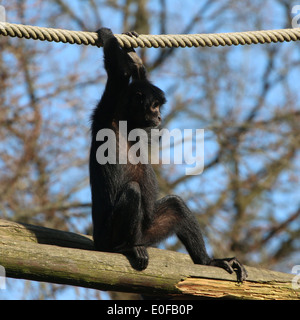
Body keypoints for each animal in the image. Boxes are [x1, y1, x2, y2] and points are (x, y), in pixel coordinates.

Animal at [89, 28, 248, 282]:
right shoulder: (107, 112)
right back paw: (124, 248)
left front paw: (135, 58)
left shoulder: (139, 128)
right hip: (108, 236)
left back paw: (208, 261)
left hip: (147, 231)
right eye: (155, 106)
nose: (159, 116)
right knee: (133, 191)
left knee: (176, 205)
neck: (124, 124)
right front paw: (107, 35)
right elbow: (119, 74)